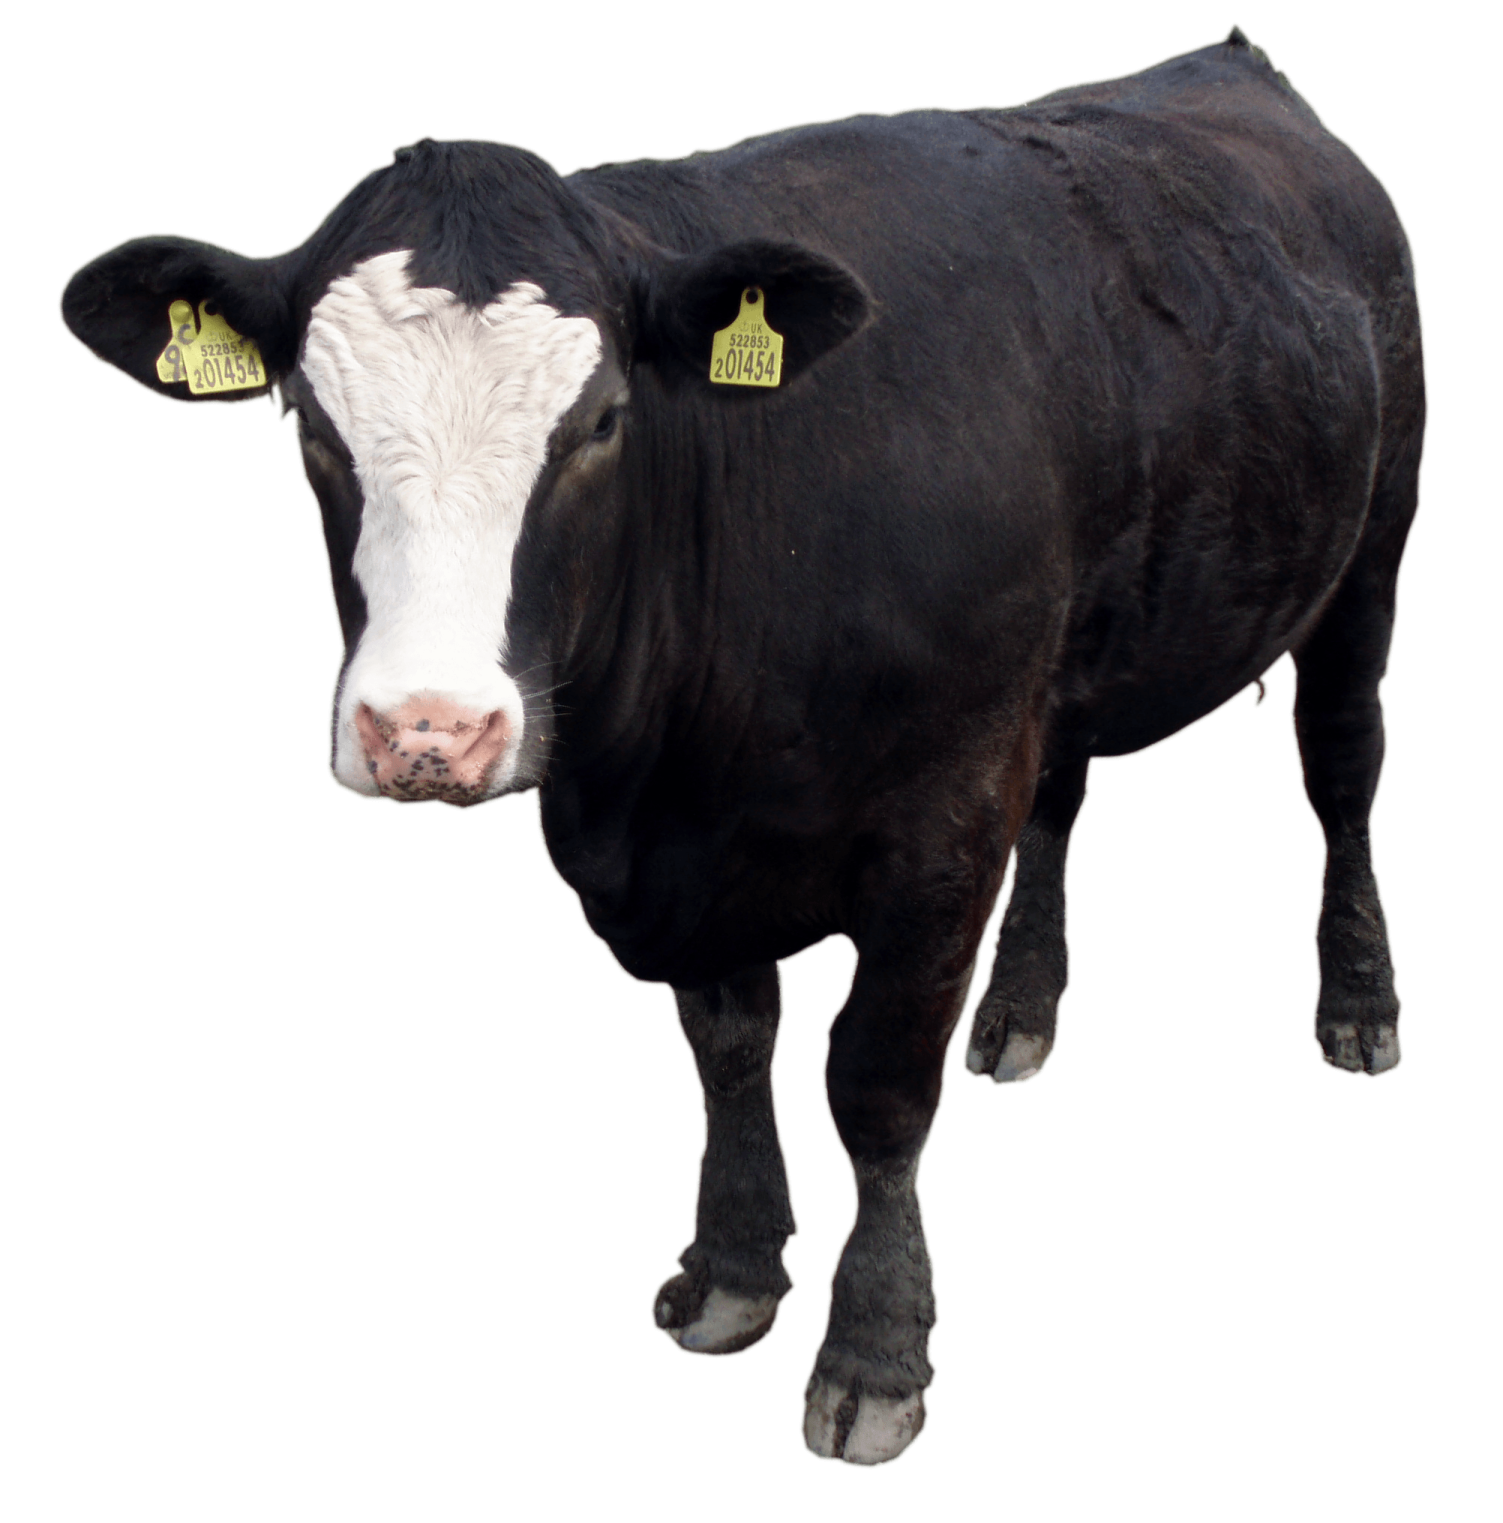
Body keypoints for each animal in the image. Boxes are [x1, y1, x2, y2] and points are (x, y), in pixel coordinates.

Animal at [59, 24, 1424, 1467]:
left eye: (603, 421)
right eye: (309, 427)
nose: (428, 729)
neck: (665, 771)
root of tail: (1225, 61)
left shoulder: (940, 822)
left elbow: (873, 1084)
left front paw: (872, 1358)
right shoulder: (693, 852)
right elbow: (726, 1049)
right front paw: (728, 1274)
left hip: (1371, 547)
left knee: (1341, 769)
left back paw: (1355, 1006)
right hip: (1074, 655)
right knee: (1063, 796)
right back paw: (1018, 1013)